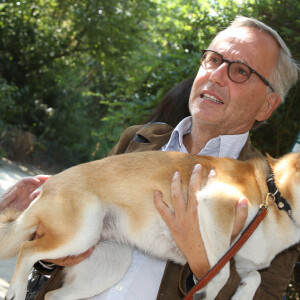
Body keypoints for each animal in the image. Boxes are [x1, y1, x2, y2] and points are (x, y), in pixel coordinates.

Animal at [1, 152, 300, 300]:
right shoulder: (217, 205)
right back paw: (16, 290)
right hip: (81, 234)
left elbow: (254, 277)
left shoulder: (245, 259)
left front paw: (242, 295)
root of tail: (47, 188)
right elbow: (222, 272)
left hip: (109, 263)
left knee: (53, 295)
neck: (273, 195)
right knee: (27, 249)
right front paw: (208, 292)